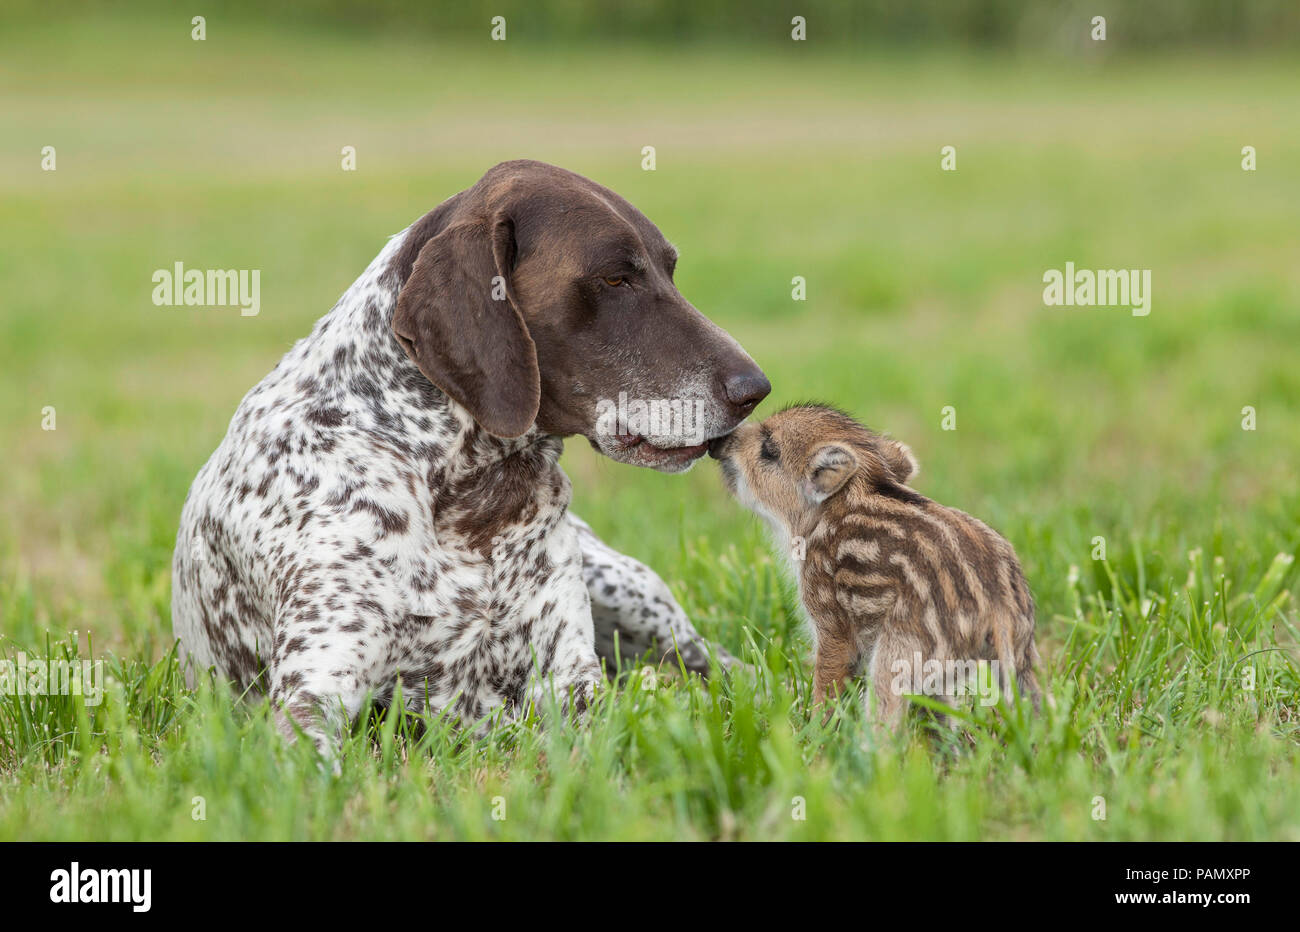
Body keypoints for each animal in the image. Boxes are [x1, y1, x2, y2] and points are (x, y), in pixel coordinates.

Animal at [167, 159, 764, 753]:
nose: (756, 390)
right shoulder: (311, 700)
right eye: (616, 278)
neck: (466, 486)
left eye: (669, 270)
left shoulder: (571, 682)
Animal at [707, 402, 1040, 722]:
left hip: (901, 652)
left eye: (769, 450)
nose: (720, 441)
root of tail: (999, 611)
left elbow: (828, 677)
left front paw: (814, 726)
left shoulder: (829, 615)